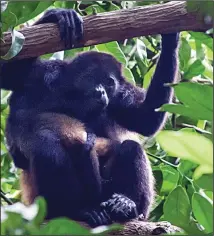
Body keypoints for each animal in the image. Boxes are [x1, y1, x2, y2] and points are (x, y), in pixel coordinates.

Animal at [0, 8, 179, 227]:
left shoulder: (120, 96)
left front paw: (170, 38)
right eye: (93, 77)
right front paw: (57, 15)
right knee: (47, 148)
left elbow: (145, 119)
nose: (102, 92)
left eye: (109, 82)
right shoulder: (44, 76)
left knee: (131, 148)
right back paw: (73, 211)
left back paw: (126, 206)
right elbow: (8, 74)